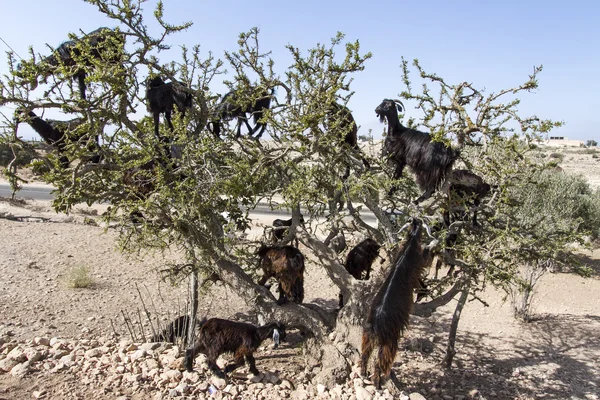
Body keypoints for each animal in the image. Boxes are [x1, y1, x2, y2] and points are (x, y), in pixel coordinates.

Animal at [358, 217, 438, 390]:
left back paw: (363, 373)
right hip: (390, 339)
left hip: (367, 335)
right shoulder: (421, 261)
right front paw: (433, 245)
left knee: (365, 354)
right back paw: (377, 383)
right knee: (380, 361)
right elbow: (427, 258)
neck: (410, 244)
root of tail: (376, 323)